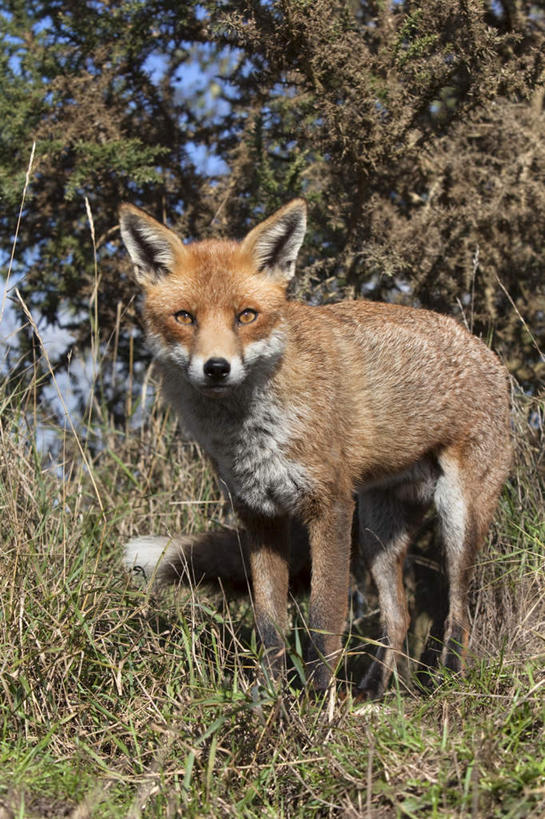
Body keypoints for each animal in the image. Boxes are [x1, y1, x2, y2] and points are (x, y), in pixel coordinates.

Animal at [118, 199, 510, 700]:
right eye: (185, 317)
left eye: (246, 316)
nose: (217, 368)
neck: (252, 433)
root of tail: (484, 348)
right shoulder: (258, 514)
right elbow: (270, 624)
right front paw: (267, 699)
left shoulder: (330, 506)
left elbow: (324, 621)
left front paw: (318, 704)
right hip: (379, 532)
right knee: (399, 618)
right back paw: (373, 695)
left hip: (458, 516)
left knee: (458, 612)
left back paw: (444, 688)